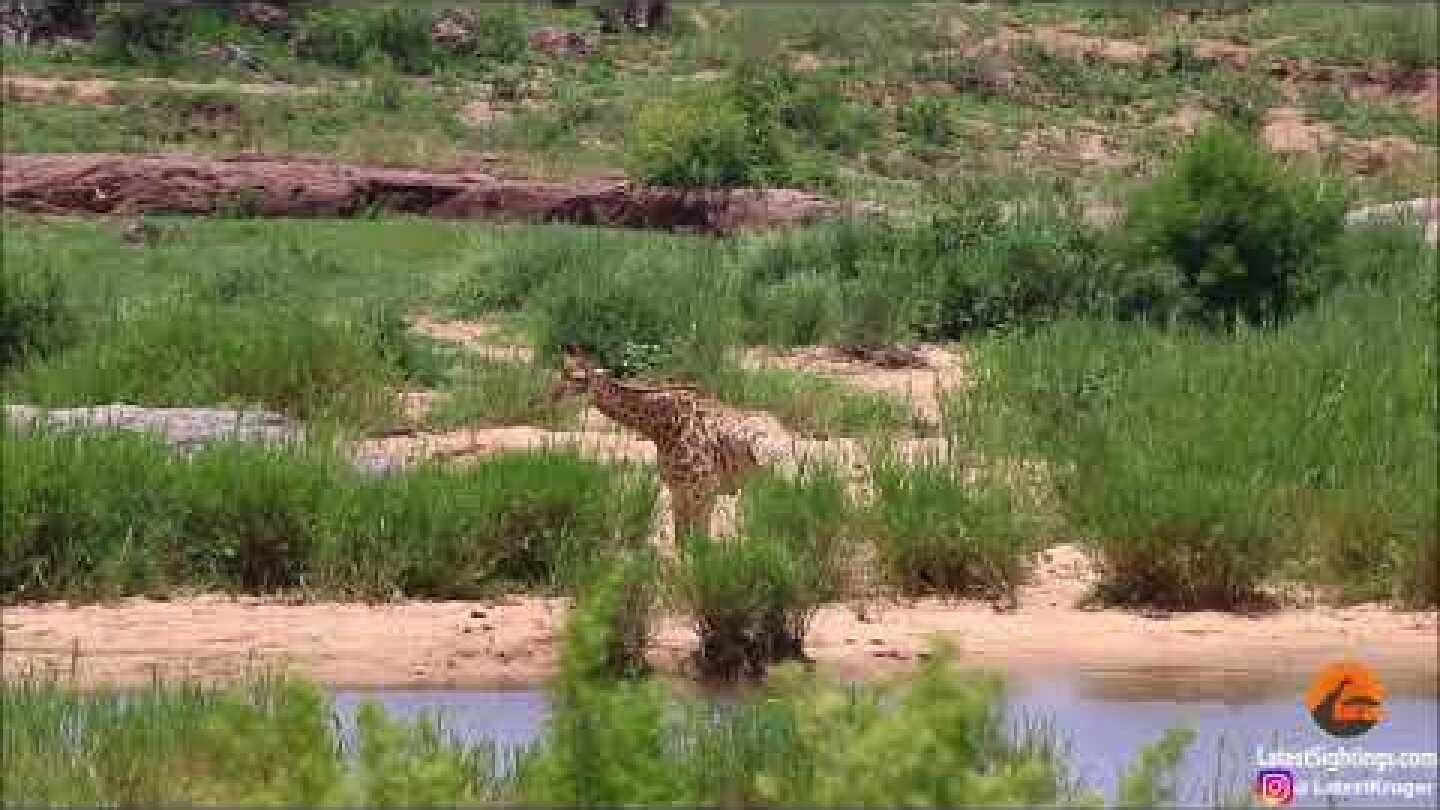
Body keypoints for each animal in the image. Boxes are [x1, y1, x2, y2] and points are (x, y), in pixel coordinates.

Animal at [550, 345, 761, 546]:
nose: (553, 396)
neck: (663, 426)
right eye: (562, 372)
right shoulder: (680, 490)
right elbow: (684, 543)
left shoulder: (703, 489)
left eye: (578, 378)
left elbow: (698, 544)